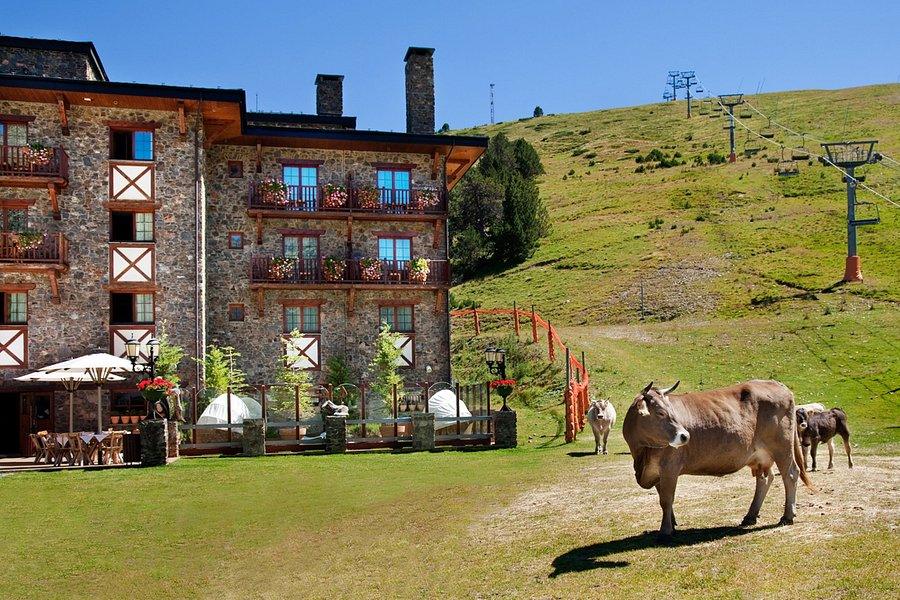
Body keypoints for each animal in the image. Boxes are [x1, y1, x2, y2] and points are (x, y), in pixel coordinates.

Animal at [622, 379, 812, 540]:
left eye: (671, 411)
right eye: (661, 412)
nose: (685, 436)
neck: (641, 453)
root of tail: (778, 384)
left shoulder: (670, 467)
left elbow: (666, 499)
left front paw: (665, 530)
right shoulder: (657, 472)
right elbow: (663, 497)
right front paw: (673, 523)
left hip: (782, 447)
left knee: (790, 474)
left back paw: (787, 516)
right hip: (761, 455)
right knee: (765, 478)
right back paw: (750, 516)